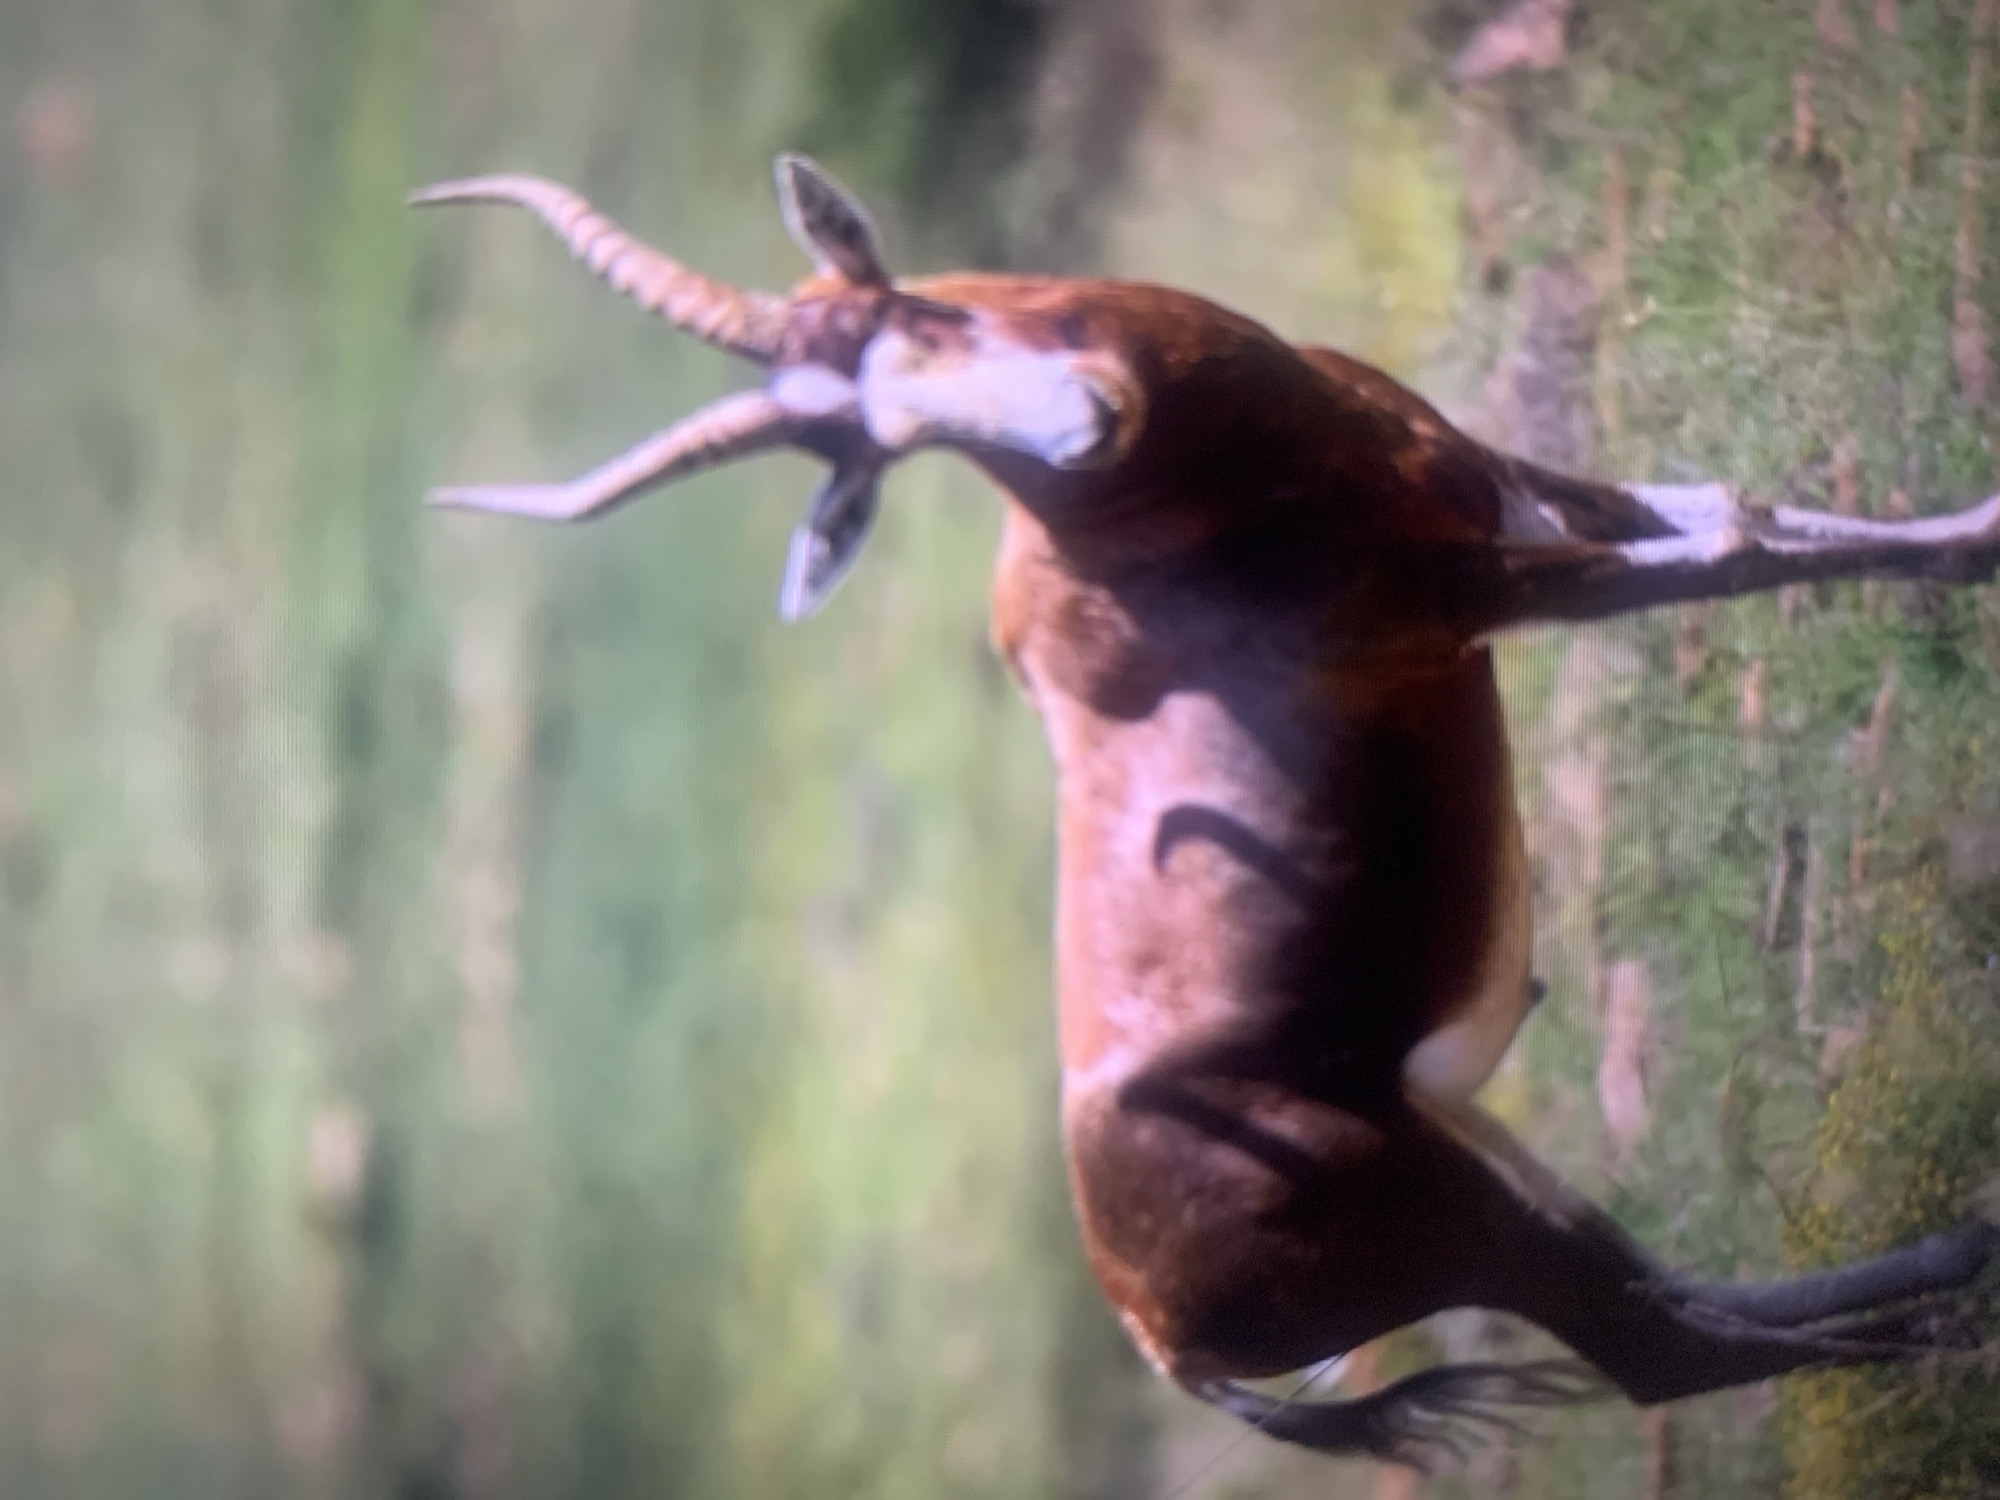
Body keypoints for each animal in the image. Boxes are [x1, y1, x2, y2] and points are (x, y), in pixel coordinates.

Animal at [413, 156, 2000, 1466]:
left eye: (904, 319)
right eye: (872, 436)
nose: (1077, 425)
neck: (1136, 525)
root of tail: (1153, 1336)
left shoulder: (1497, 483)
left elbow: (1726, 507)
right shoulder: (1475, 590)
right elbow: (1737, 548)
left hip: (1468, 1164)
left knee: (1664, 1292)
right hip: (1455, 1217)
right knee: (1664, 1349)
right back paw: (1947, 1330)